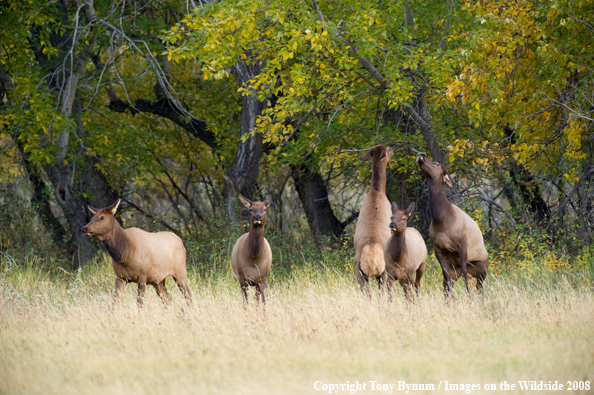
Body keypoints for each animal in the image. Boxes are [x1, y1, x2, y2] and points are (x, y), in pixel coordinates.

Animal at [352, 145, 394, 296]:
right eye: (388, 149)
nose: (393, 149)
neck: (377, 190)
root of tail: (372, 261)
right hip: (384, 273)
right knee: (384, 293)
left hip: (359, 274)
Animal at [414, 153, 488, 298]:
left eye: (437, 163)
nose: (420, 154)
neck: (441, 220)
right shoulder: (438, 249)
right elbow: (445, 276)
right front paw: (451, 299)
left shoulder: (462, 244)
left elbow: (465, 272)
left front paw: (469, 297)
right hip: (456, 270)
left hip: (482, 268)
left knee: (479, 286)